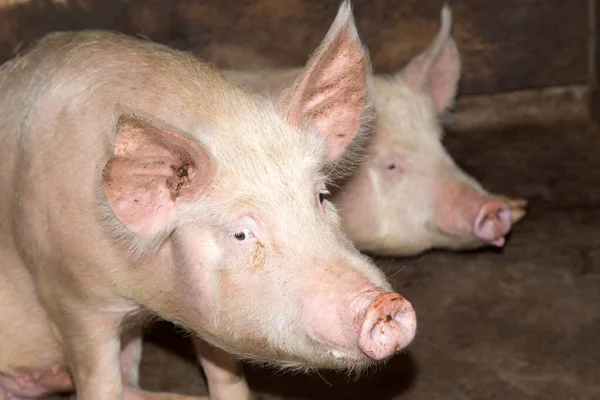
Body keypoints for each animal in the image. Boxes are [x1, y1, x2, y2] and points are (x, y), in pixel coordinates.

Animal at [0, 3, 414, 400]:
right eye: (241, 234)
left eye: (321, 197)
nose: (384, 303)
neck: (148, 293)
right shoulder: (74, 299)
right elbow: (100, 385)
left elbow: (225, 373)